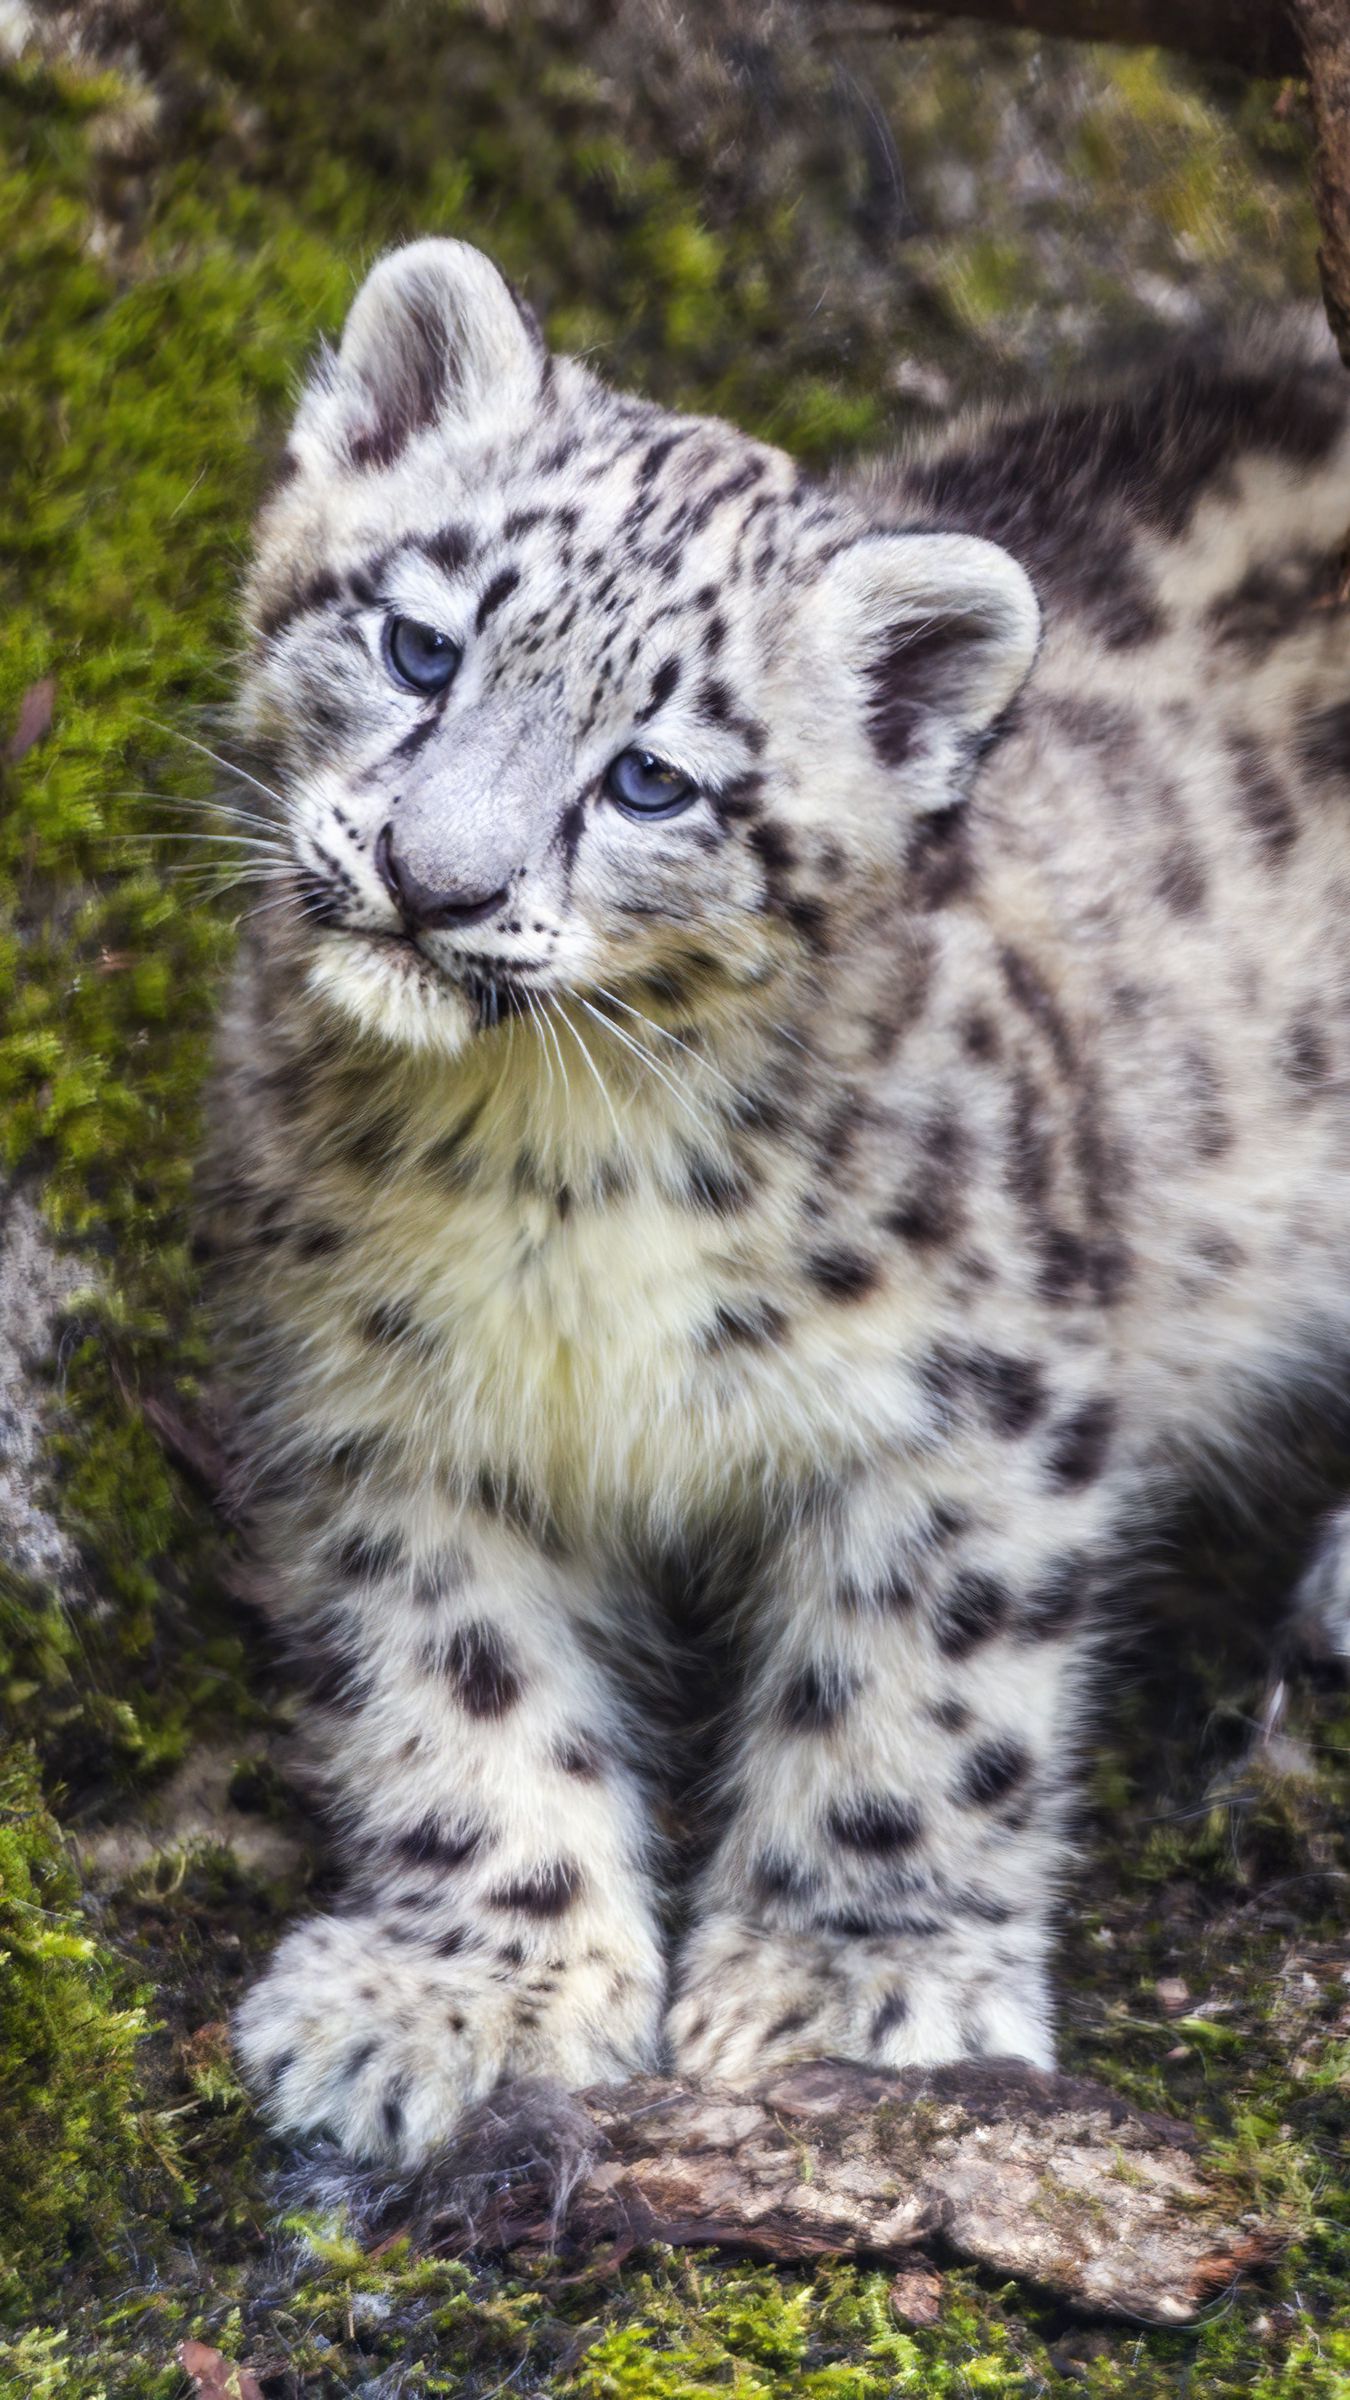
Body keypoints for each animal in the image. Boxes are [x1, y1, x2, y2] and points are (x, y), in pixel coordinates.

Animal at [203, 237, 1350, 2168]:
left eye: (653, 778)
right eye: (419, 644)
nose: (435, 883)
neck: (550, 1174)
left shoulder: (979, 1396)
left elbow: (918, 1688)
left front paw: (851, 1982)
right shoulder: (384, 1406)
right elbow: (455, 1681)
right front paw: (466, 1990)